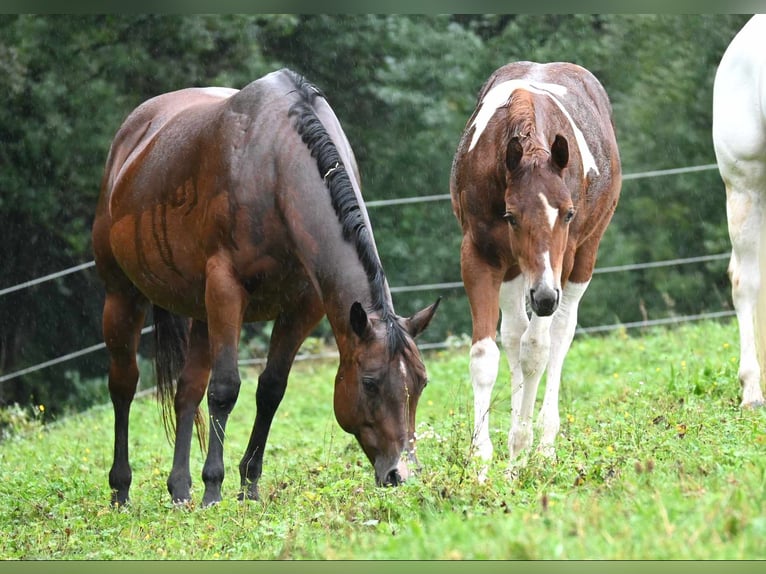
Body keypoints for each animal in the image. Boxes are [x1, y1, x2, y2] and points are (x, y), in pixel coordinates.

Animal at [91, 68, 440, 508]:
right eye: (370, 383)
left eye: (421, 382)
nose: (401, 475)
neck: (275, 167)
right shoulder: (226, 291)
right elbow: (225, 389)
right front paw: (214, 488)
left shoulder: (303, 308)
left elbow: (271, 389)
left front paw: (249, 486)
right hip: (123, 296)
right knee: (124, 386)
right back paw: (121, 490)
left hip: (200, 312)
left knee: (187, 391)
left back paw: (180, 490)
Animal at [450, 60, 624, 480]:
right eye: (511, 216)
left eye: (568, 214)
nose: (544, 297)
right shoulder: (478, 256)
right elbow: (486, 355)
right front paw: (481, 462)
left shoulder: (559, 266)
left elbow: (536, 351)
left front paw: (521, 449)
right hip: (516, 270)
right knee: (514, 334)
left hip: (580, 260)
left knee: (557, 337)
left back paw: (543, 444)